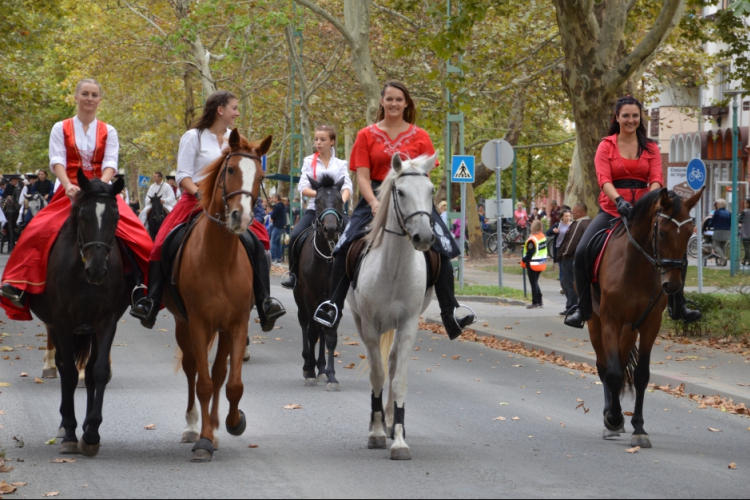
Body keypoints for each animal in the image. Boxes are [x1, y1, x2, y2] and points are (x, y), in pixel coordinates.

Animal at [29, 171, 137, 458]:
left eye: (116, 218)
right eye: (83, 216)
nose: (97, 271)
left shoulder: (106, 323)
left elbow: (98, 371)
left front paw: (91, 433)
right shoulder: (63, 323)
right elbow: (67, 373)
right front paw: (69, 433)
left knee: (87, 371)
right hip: (56, 326)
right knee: (63, 365)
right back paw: (64, 426)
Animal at [165, 130, 274, 464]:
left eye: (261, 176)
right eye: (230, 170)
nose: (241, 217)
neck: (219, 258)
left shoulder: (237, 324)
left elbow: (232, 382)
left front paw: (233, 422)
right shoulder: (198, 323)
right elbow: (203, 383)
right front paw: (203, 441)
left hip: (223, 330)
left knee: (220, 372)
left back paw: (213, 425)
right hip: (183, 324)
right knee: (192, 369)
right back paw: (193, 427)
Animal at [296, 175, 350, 390]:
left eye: (339, 200)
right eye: (317, 200)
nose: (331, 229)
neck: (327, 257)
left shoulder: (337, 297)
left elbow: (330, 334)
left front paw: (331, 375)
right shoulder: (309, 295)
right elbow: (311, 331)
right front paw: (310, 372)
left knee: (321, 328)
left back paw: (320, 367)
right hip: (300, 297)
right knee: (305, 323)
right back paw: (308, 365)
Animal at [350, 153, 438, 460]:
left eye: (431, 191)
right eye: (399, 192)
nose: (424, 237)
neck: (394, 269)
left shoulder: (409, 324)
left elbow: (398, 379)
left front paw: (398, 439)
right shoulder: (369, 324)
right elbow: (377, 375)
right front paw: (375, 432)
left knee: (392, 361)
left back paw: (390, 420)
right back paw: (378, 422)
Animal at [592, 188, 704, 450]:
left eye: (689, 233)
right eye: (661, 232)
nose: (672, 285)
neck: (635, 267)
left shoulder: (650, 324)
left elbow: (641, 375)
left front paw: (639, 428)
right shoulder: (610, 321)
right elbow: (612, 373)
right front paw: (613, 418)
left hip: (629, 329)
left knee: (622, 363)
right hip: (595, 322)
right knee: (604, 367)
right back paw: (610, 417)